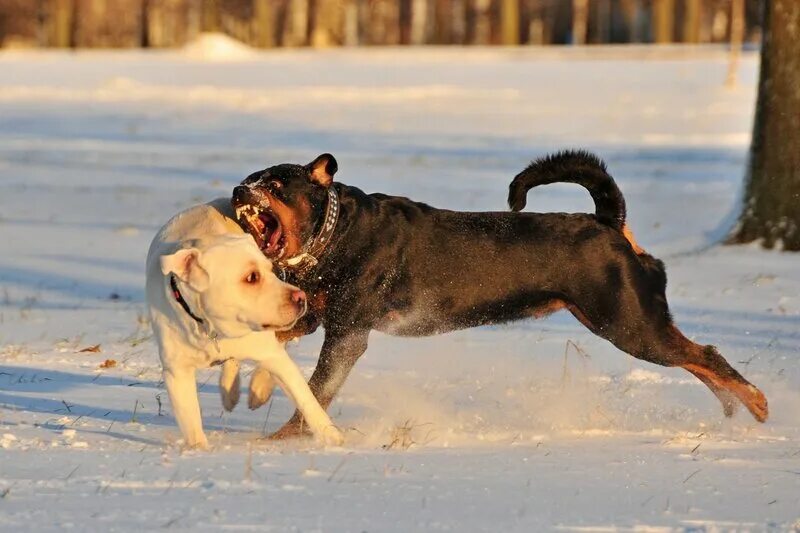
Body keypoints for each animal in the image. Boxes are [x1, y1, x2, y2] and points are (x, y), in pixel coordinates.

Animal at [145, 197, 342, 446]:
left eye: (270, 270)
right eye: (251, 277)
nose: (300, 298)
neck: (214, 329)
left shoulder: (271, 354)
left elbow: (306, 399)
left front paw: (333, 438)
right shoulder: (177, 372)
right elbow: (191, 424)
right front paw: (198, 450)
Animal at [231, 150, 768, 436]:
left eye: (275, 184)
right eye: (248, 178)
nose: (238, 192)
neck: (334, 235)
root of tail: (609, 224)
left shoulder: (347, 334)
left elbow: (318, 390)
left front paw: (285, 438)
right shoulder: (313, 318)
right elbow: (271, 345)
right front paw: (258, 386)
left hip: (628, 323)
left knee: (705, 353)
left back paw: (756, 402)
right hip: (624, 321)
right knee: (696, 357)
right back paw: (733, 406)